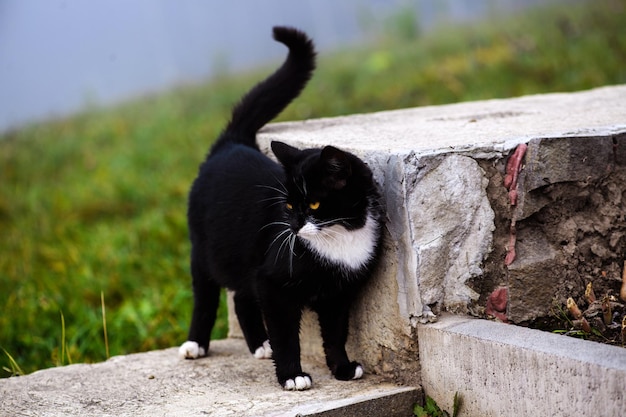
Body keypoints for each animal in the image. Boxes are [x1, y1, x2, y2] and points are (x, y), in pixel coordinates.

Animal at [176, 26, 380, 390]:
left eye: (314, 203)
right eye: (287, 204)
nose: (294, 226)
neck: (338, 239)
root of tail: (232, 143)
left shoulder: (338, 294)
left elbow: (336, 333)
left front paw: (342, 369)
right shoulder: (273, 283)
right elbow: (286, 333)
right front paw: (293, 375)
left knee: (241, 297)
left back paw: (260, 344)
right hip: (204, 248)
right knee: (207, 295)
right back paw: (196, 344)